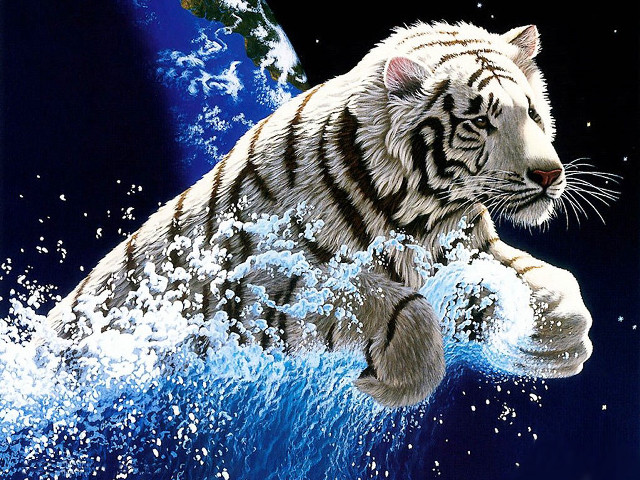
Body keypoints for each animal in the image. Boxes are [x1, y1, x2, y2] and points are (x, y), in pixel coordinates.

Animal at [47, 21, 593, 408]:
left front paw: (558, 336)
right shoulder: (261, 291)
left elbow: (551, 282)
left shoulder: (469, 246)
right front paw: (388, 383)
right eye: (479, 121)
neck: (425, 212)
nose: (548, 174)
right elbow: (396, 304)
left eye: (533, 113)